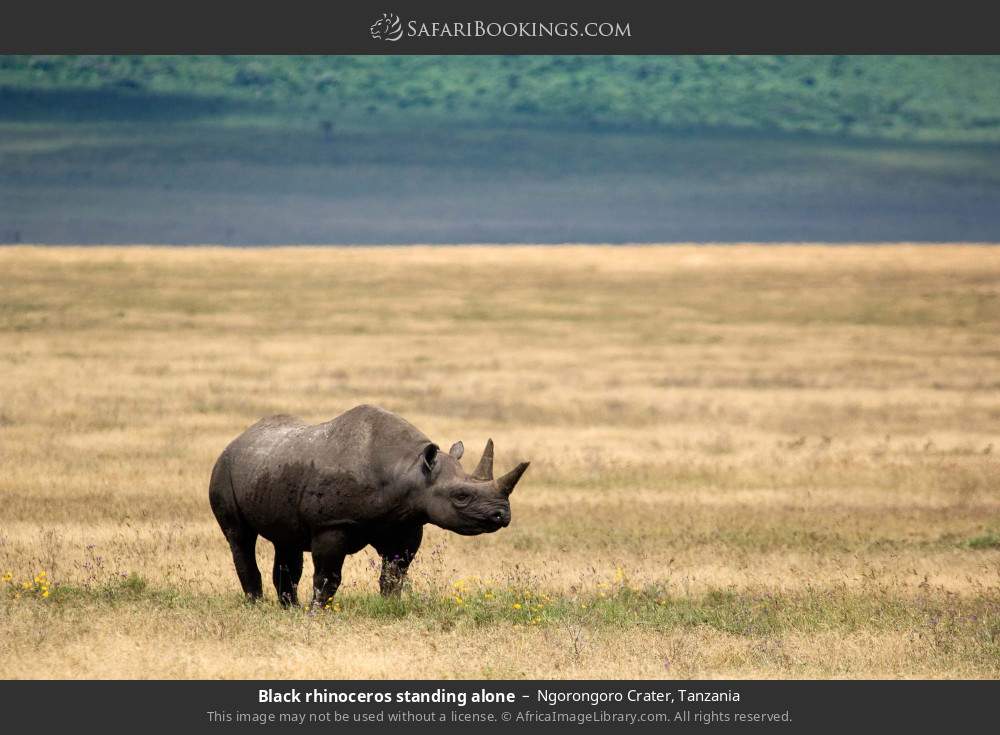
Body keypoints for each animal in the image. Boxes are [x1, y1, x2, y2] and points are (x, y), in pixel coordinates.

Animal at [209, 404, 529, 608]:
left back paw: (289, 609)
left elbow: (394, 574)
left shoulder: (405, 523)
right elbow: (328, 576)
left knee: (286, 541)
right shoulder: (331, 524)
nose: (502, 515)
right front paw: (317, 613)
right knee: (240, 537)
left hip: (269, 467)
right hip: (224, 468)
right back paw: (257, 606)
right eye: (461, 496)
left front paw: (389, 607)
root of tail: (237, 439)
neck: (410, 471)